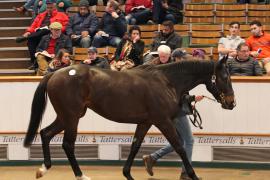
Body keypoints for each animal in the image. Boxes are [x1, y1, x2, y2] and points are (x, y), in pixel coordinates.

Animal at [24, 57, 235, 180]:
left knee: (45, 133)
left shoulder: (145, 122)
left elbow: (135, 146)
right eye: (225, 77)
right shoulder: (163, 121)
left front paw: (127, 174)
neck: (167, 81)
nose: (231, 103)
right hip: (72, 117)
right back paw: (80, 175)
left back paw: (43, 169)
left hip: (67, 116)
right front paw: (194, 175)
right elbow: (179, 147)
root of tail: (54, 74)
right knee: (67, 144)